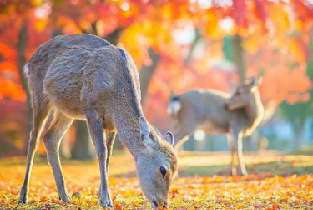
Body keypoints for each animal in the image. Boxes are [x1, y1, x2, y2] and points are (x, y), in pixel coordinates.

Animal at [18, 33, 177, 209]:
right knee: (33, 139)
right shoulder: (91, 111)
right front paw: (106, 200)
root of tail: (29, 62)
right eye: (163, 169)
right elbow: (101, 153)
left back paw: (65, 196)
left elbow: (108, 156)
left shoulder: (112, 124)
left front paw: (102, 196)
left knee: (50, 137)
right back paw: (23, 196)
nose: (163, 204)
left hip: (66, 110)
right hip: (38, 93)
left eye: (175, 172)